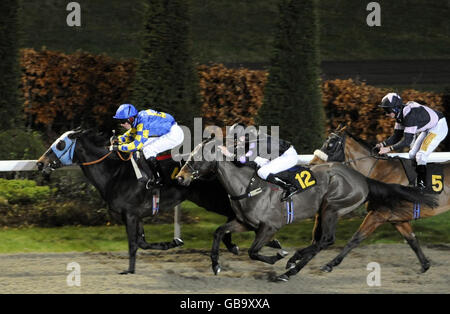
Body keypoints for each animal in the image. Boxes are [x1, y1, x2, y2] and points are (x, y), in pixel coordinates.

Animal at [37, 129, 280, 274]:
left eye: (60, 145)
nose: (40, 163)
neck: (114, 173)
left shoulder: (130, 214)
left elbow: (133, 244)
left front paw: (129, 270)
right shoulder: (136, 214)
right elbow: (142, 242)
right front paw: (172, 242)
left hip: (212, 199)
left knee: (238, 214)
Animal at [176, 140, 436, 282]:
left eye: (196, 158)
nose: (180, 177)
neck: (247, 186)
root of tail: (362, 178)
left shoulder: (269, 227)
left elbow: (253, 251)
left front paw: (278, 256)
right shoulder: (245, 223)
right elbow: (219, 232)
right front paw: (215, 265)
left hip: (333, 206)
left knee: (326, 240)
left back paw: (291, 267)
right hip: (322, 211)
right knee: (319, 241)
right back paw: (294, 263)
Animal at [312, 125, 448, 272]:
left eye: (330, 144)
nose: (312, 164)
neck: (381, 171)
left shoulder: (378, 214)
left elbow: (355, 238)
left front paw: (330, 264)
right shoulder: (398, 219)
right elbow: (412, 239)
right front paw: (425, 264)